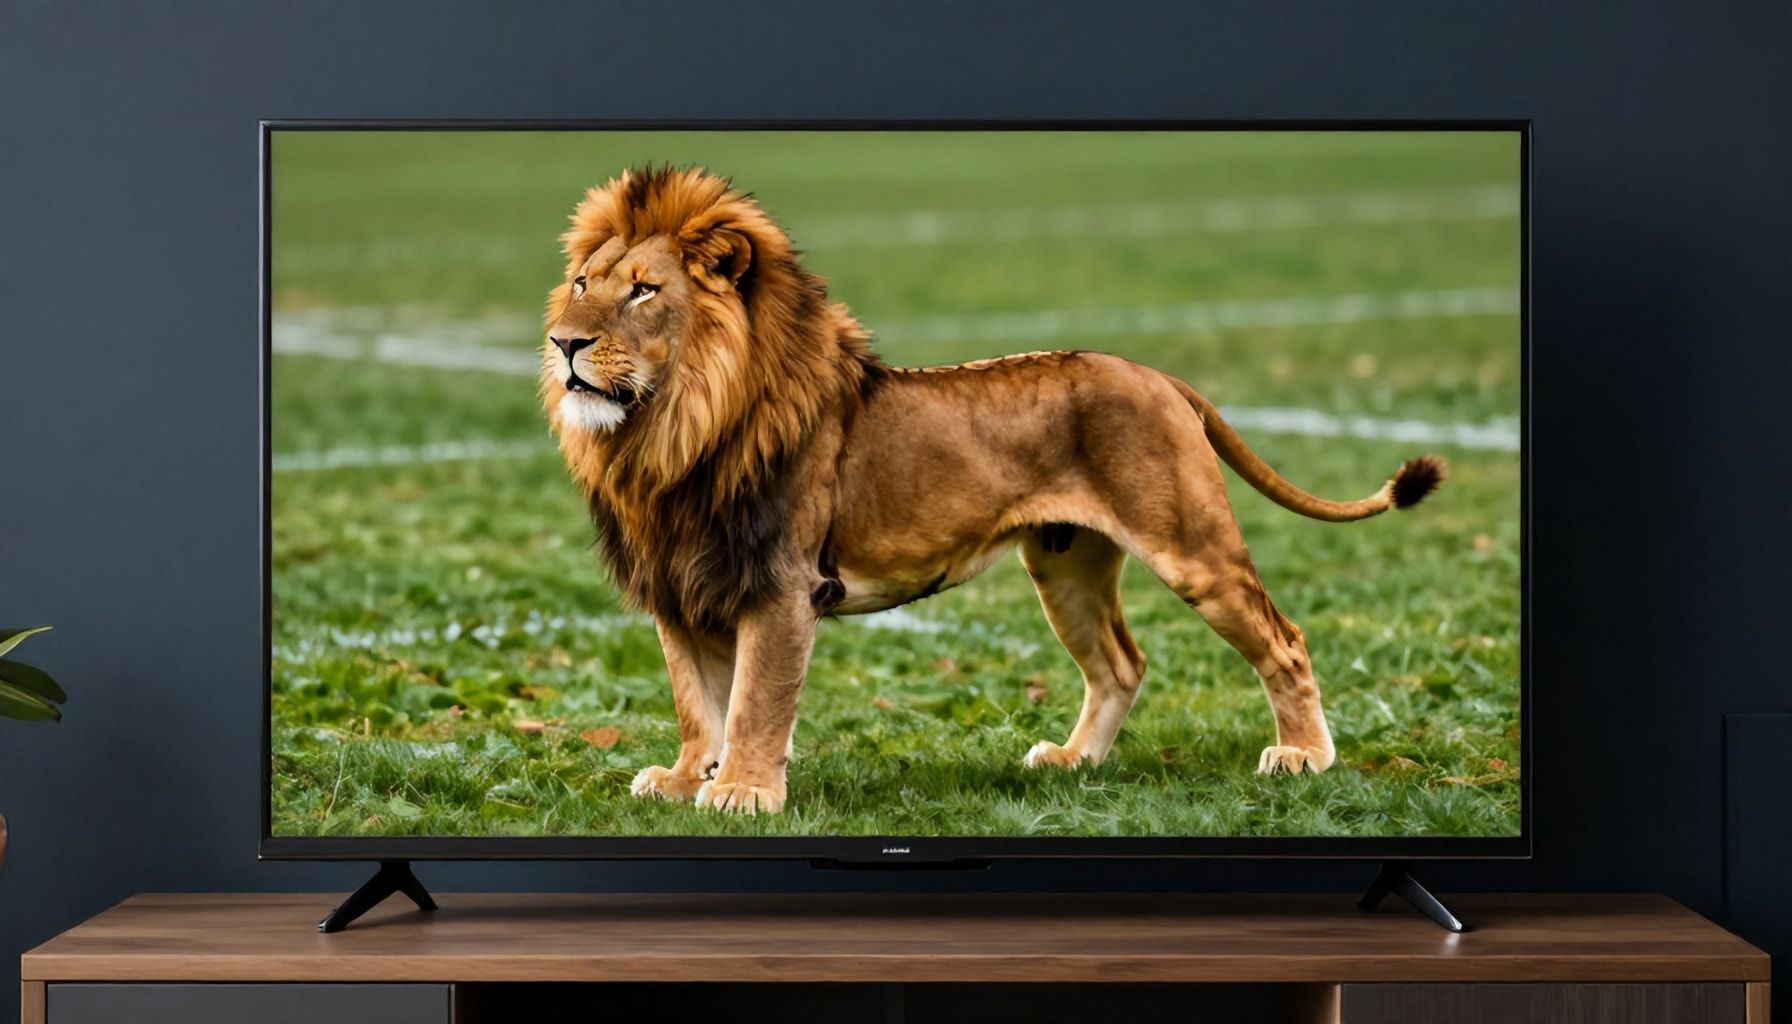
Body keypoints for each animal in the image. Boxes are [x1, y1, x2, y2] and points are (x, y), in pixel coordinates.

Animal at [540, 167, 1443, 814]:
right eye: (584, 284)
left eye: (644, 290)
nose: (562, 343)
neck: (669, 431)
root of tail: (1158, 374)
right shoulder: (684, 587)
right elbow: (700, 702)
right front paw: (688, 779)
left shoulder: (779, 584)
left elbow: (755, 701)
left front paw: (742, 792)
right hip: (1066, 566)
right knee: (1121, 663)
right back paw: (1072, 762)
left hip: (1191, 547)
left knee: (1283, 640)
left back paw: (1304, 757)